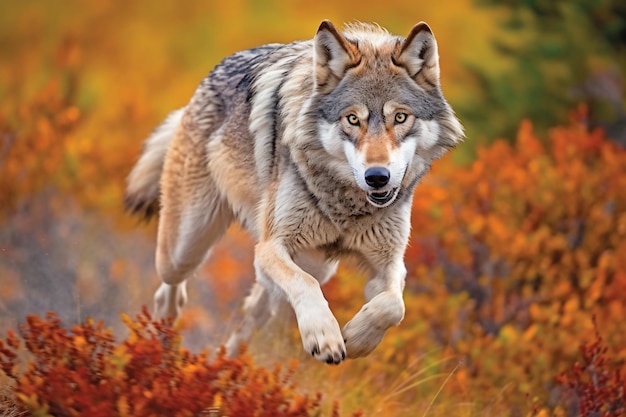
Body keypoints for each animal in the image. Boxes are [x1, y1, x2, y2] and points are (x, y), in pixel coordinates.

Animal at [124, 20, 460, 364]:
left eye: (400, 117)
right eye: (353, 119)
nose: (377, 177)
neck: (346, 207)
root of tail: (198, 92)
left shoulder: (390, 263)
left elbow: (394, 306)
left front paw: (356, 339)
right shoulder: (271, 246)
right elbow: (305, 284)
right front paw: (325, 337)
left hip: (314, 266)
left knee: (253, 312)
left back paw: (224, 364)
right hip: (186, 248)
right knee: (170, 292)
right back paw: (160, 351)